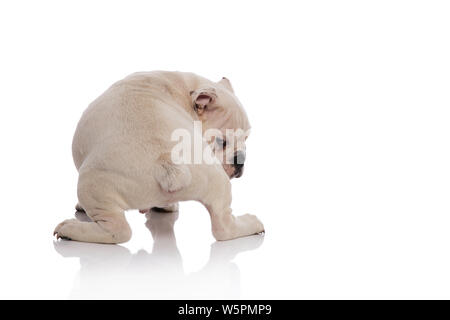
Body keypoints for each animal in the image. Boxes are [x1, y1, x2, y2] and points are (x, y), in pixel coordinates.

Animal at [53, 71, 264, 244]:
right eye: (221, 142)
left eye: (246, 138)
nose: (240, 159)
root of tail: (165, 159)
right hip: (216, 181)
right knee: (223, 225)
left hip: (92, 182)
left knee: (119, 231)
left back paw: (70, 229)